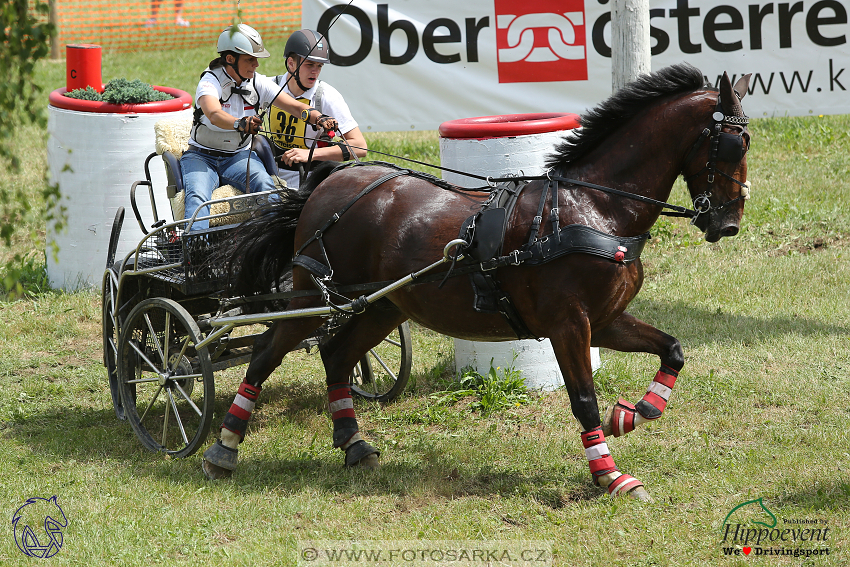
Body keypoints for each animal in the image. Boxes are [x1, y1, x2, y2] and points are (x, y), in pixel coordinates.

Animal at [204, 64, 748, 504]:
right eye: (732, 144)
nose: (728, 223)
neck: (595, 207)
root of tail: (330, 182)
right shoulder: (569, 324)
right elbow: (584, 400)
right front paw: (610, 475)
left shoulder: (606, 319)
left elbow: (673, 350)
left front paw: (634, 413)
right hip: (314, 298)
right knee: (266, 353)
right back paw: (223, 447)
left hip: (381, 306)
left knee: (336, 356)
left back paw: (353, 444)